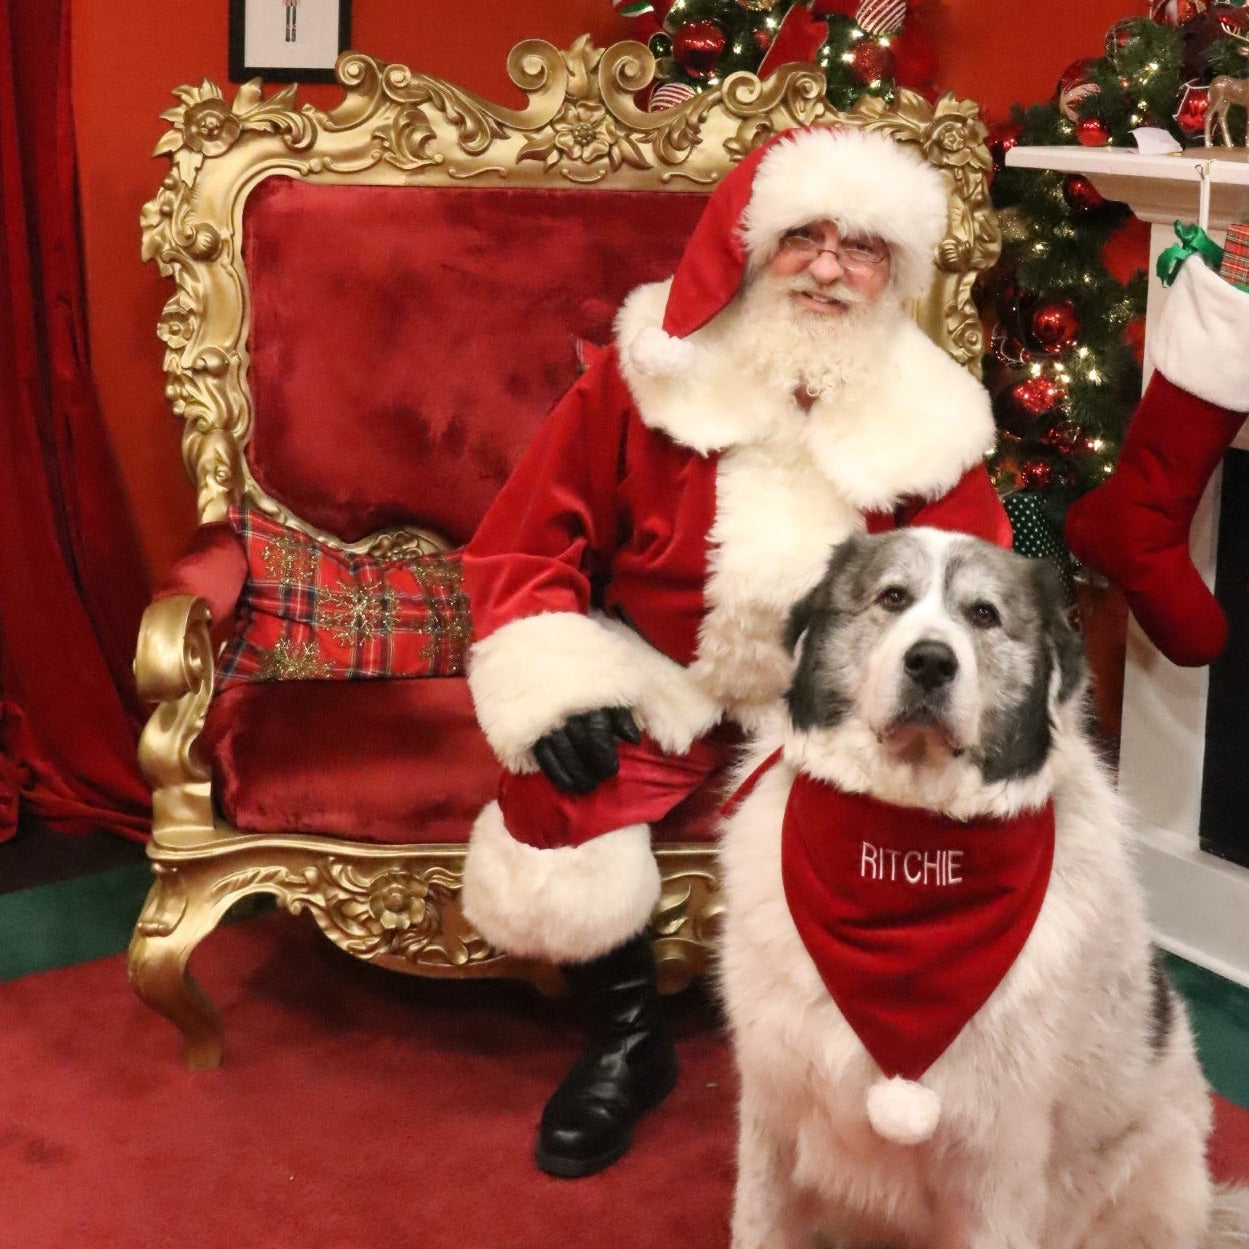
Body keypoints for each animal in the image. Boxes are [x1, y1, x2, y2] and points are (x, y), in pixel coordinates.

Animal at [719, 529, 1244, 1249]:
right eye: (892, 597)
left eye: (984, 615)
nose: (931, 662)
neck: (908, 840)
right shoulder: (772, 1117)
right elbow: (758, 1222)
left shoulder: (995, 1166)